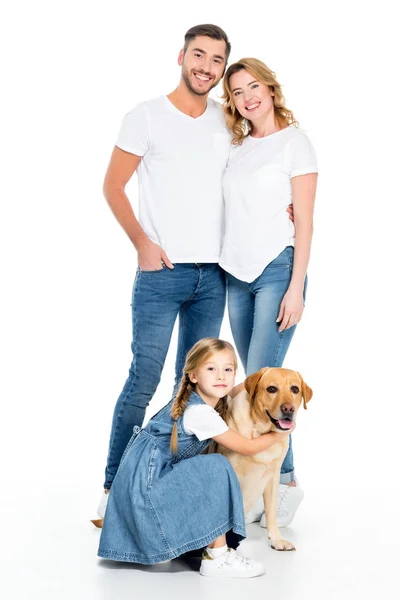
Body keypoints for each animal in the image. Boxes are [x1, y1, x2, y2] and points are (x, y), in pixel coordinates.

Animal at [217, 364, 310, 552]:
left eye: (295, 389)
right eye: (272, 389)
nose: (288, 409)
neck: (260, 431)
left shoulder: (273, 476)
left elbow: (271, 511)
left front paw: (276, 539)